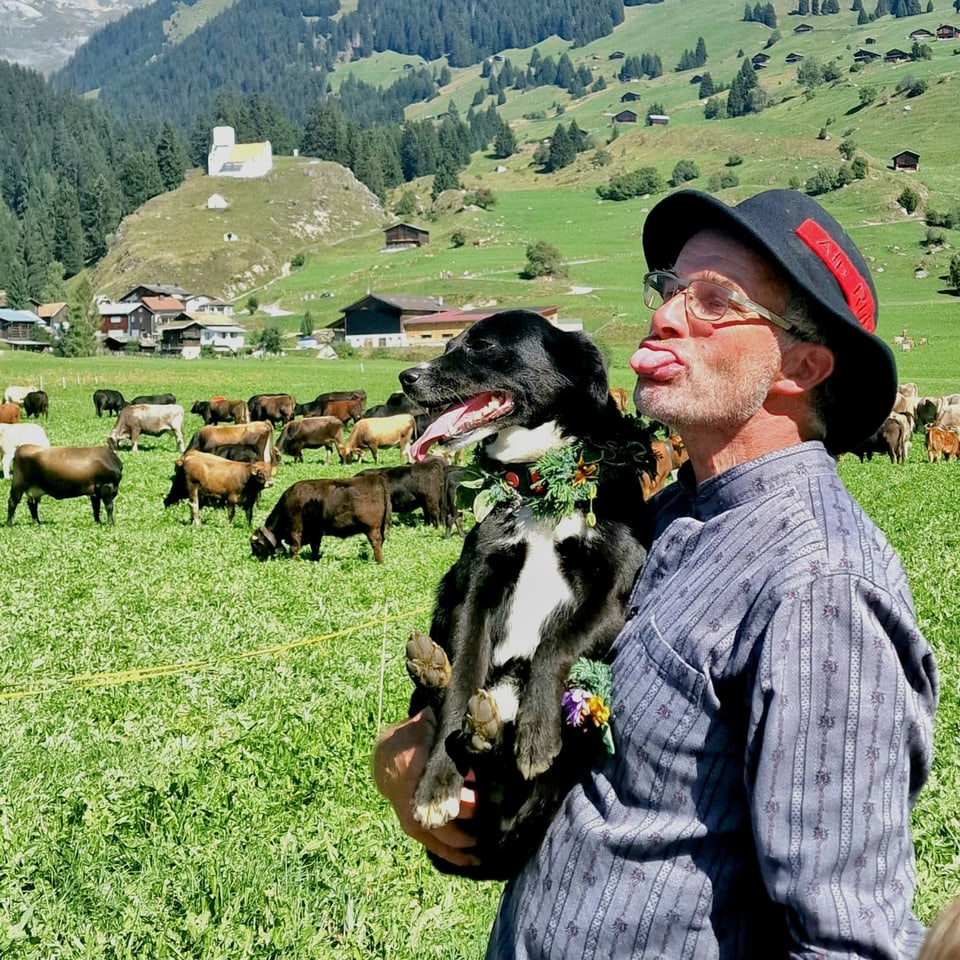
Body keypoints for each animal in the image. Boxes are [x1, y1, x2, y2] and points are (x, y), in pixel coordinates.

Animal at [253, 472, 396, 564]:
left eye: (255, 545)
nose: (255, 557)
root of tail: (376, 478)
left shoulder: (295, 528)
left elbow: (295, 547)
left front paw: (292, 562)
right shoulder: (316, 532)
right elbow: (315, 547)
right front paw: (315, 560)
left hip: (371, 529)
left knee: (376, 543)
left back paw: (379, 562)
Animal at [398, 308, 652, 876]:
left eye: (483, 346)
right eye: (447, 343)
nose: (407, 377)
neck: (540, 483)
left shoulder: (611, 595)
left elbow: (556, 645)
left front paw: (539, 732)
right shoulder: (476, 591)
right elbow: (463, 681)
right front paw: (436, 787)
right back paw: (436, 675)